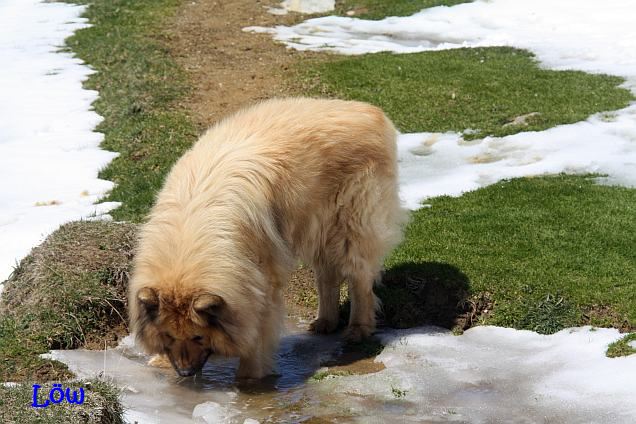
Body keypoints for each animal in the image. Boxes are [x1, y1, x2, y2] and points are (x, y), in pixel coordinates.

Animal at [129, 97, 404, 380]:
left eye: (198, 337)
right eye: (169, 336)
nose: (184, 373)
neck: (189, 237)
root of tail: (370, 111)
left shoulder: (259, 282)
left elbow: (256, 332)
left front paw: (250, 377)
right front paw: (162, 361)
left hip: (350, 229)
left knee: (360, 281)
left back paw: (358, 328)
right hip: (316, 230)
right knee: (327, 277)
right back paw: (325, 322)